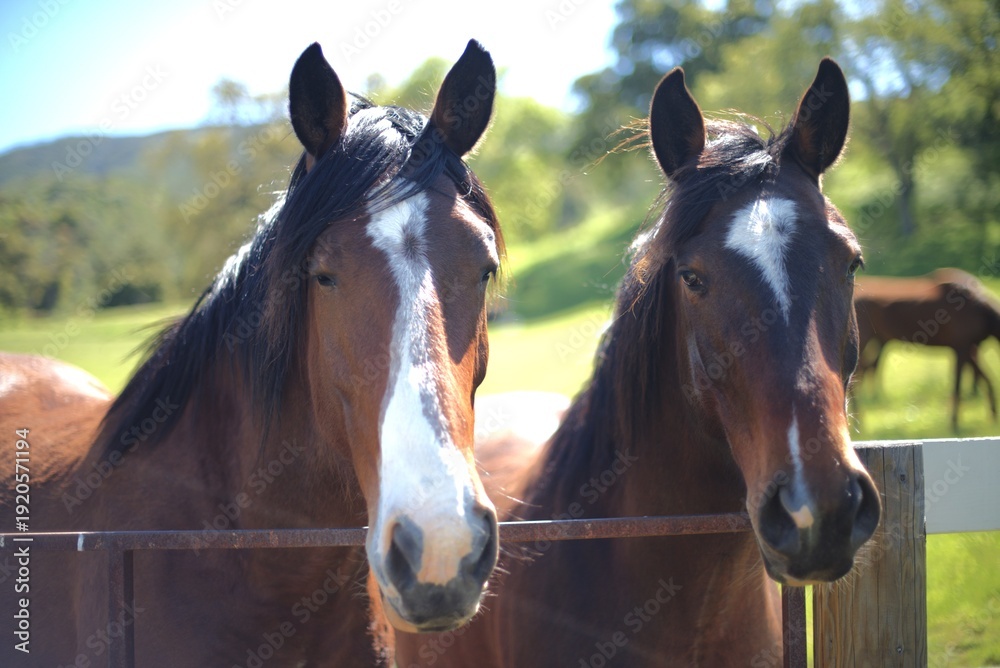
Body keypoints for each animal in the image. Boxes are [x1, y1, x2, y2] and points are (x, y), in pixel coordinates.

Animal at [854, 268, 1000, 430]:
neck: (978, 309)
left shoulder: (969, 349)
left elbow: (985, 379)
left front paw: (992, 417)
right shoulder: (962, 349)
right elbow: (958, 386)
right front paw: (954, 425)